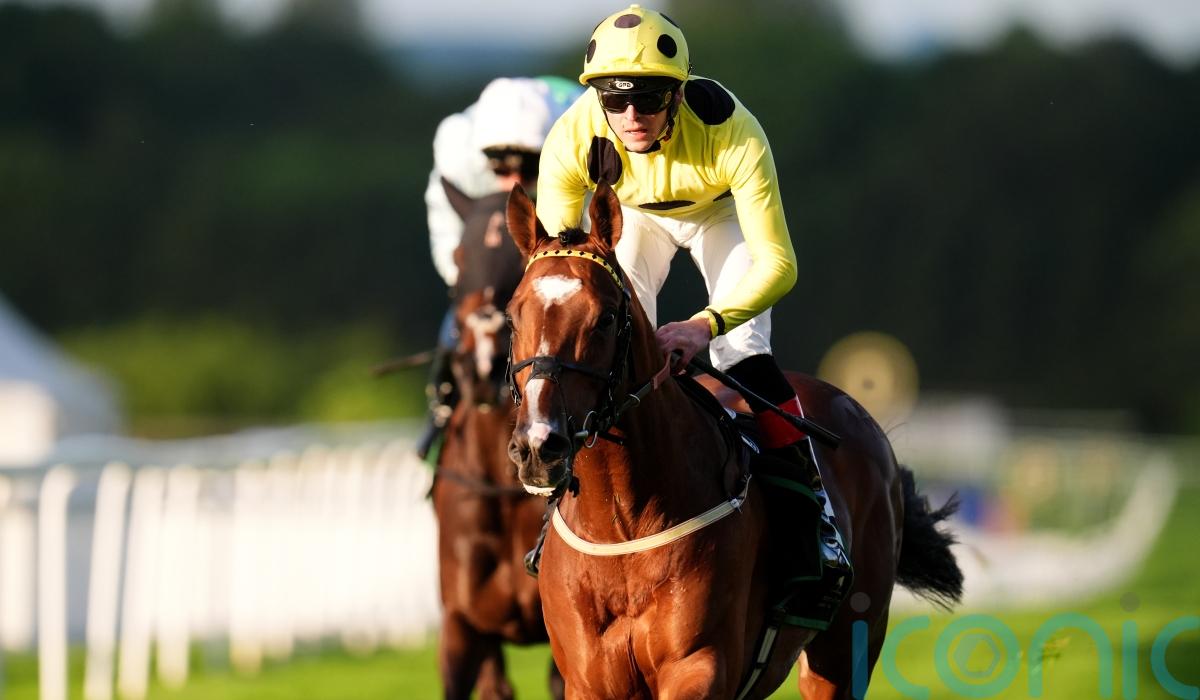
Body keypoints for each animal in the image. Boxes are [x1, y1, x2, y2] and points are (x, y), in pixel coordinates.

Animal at [502, 181, 962, 699]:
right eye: (513, 318)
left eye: (604, 318)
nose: (539, 445)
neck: (622, 524)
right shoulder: (588, 679)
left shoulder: (700, 666)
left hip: (846, 647)